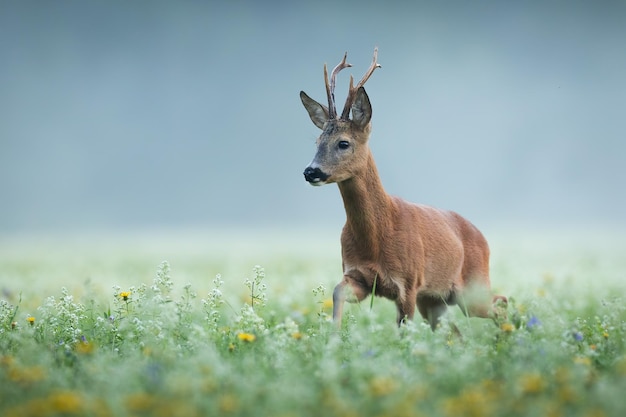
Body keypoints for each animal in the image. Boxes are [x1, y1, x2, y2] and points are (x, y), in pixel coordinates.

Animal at [300, 48, 504, 328]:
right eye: (318, 140)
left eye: (343, 143)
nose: (311, 171)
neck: (375, 238)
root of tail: (482, 237)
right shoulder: (358, 276)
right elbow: (337, 291)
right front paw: (334, 333)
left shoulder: (408, 283)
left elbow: (404, 329)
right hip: (434, 299)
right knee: (456, 330)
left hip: (473, 288)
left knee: (501, 302)